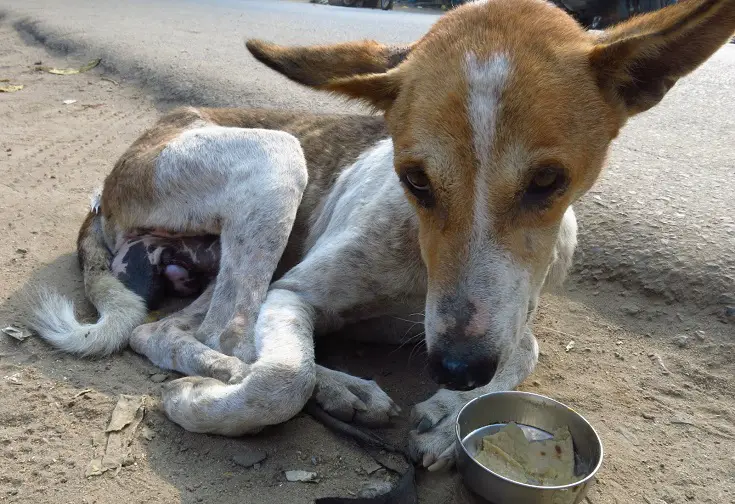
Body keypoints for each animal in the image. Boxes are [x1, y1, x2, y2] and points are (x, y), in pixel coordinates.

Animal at [27, 0, 735, 472]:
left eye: (548, 182)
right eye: (414, 178)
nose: (456, 367)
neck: (419, 264)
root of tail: (105, 186)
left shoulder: (513, 316)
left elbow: (522, 355)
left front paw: (450, 419)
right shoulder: (294, 292)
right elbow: (280, 380)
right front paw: (200, 403)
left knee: (191, 329)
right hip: (276, 161)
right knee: (214, 334)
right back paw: (324, 385)